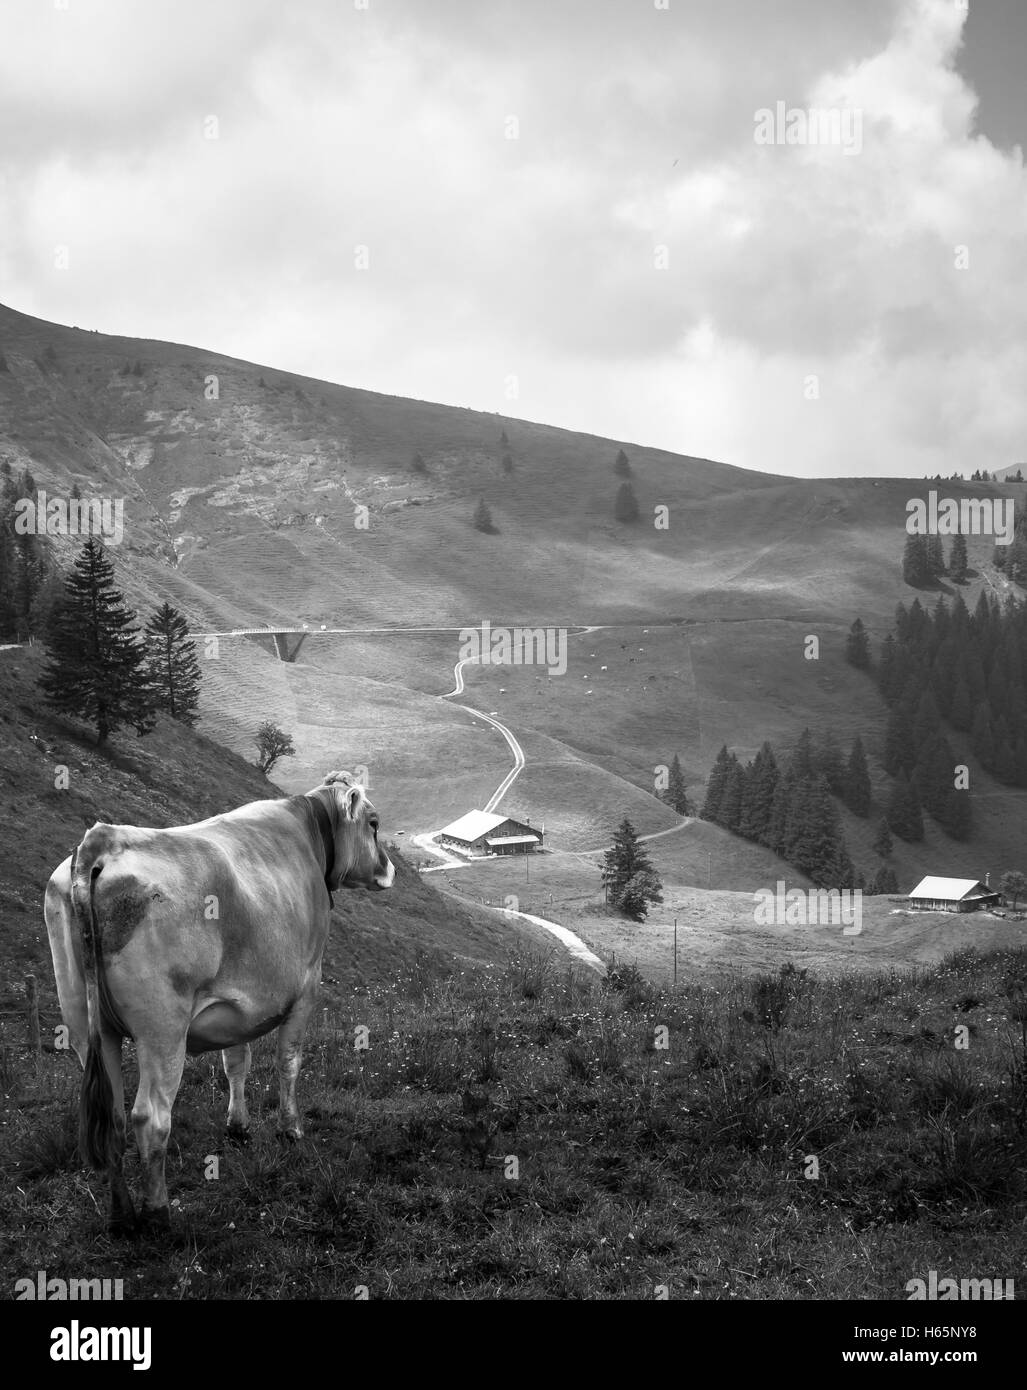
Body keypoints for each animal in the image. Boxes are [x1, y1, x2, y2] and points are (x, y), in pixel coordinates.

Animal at [44, 770, 394, 1233]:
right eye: (373, 823)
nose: (389, 868)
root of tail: (102, 840)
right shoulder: (307, 987)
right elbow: (288, 1063)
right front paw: (290, 1130)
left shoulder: (237, 1007)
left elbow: (236, 1064)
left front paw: (238, 1126)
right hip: (162, 1030)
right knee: (150, 1117)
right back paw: (157, 1213)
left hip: (86, 1025)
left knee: (113, 1117)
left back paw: (121, 1215)